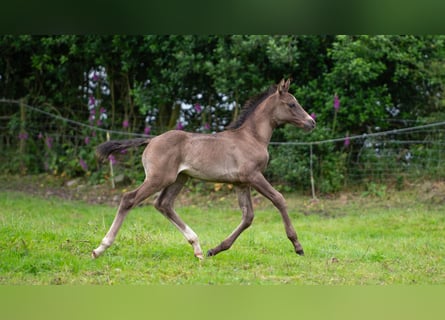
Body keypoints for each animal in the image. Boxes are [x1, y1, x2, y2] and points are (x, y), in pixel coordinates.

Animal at [92, 79, 316, 260]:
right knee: (129, 199)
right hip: (158, 178)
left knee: (164, 204)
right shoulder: (253, 176)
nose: (311, 122)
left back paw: (198, 248)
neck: (251, 137)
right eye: (292, 104)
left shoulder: (241, 183)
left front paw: (215, 249)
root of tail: (151, 139)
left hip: (179, 178)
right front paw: (298, 246)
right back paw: (100, 248)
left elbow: (248, 217)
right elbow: (279, 199)